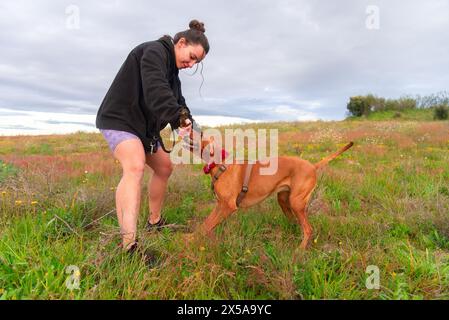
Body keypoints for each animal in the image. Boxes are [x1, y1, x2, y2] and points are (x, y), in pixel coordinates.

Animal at [182, 129, 354, 249]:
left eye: (200, 133)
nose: (185, 127)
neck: (220, 163)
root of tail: (312, 166)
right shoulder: (220, 205)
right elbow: (206, 224)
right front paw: (192, 238)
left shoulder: (227, 206)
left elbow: (206, 226)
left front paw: (189, 241)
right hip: (284, 201)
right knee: (297, 223)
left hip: (296, 202)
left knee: (308, 229)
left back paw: (299, 250)